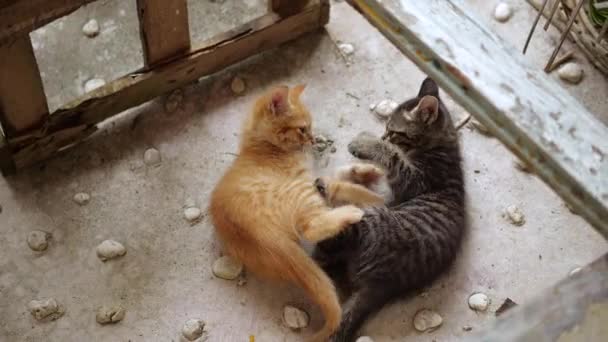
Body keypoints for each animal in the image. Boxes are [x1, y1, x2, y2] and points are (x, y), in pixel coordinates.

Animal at [209, 84, 380, 340]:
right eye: (302, 128)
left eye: (310, 127)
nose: (312, 139)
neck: (262, 145)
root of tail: (255, 232)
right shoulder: (306, 180)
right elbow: (338, 182)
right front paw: (370, 188)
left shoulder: (315, 179)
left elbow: (336, 177)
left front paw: (365, 171)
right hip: (301, 195)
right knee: (311, 228)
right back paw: (351, 213)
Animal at [314, 78, 466, 342]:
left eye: (393, 131)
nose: (383, 134)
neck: (442, 145)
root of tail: (382, 284)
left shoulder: (414, 180)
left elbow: (392, 154)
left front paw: (367, 142)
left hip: (368, 219)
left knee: (323, 246)